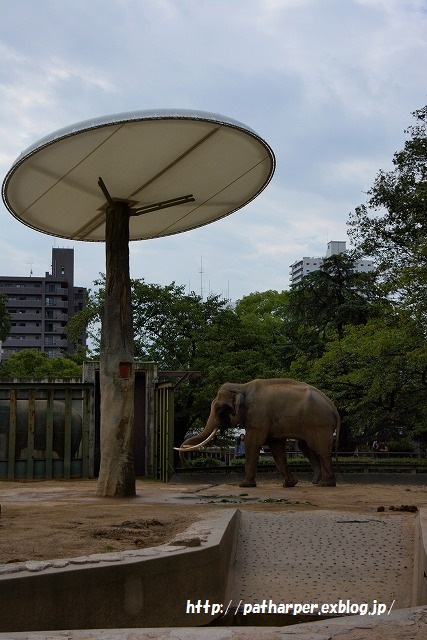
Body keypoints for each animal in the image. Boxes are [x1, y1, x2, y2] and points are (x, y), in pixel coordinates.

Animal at [175, 378, 342, 488]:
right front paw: (290, 484)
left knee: (320, 449)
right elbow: (276, 447)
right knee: (307, 448)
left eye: (218, 408)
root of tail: (334, 409)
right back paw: (317, 482)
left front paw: (244, 485)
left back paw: (325, 484)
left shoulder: (258, 415)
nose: (184, 461)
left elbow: (252, 442)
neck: (242, 387)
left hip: (319, 423)